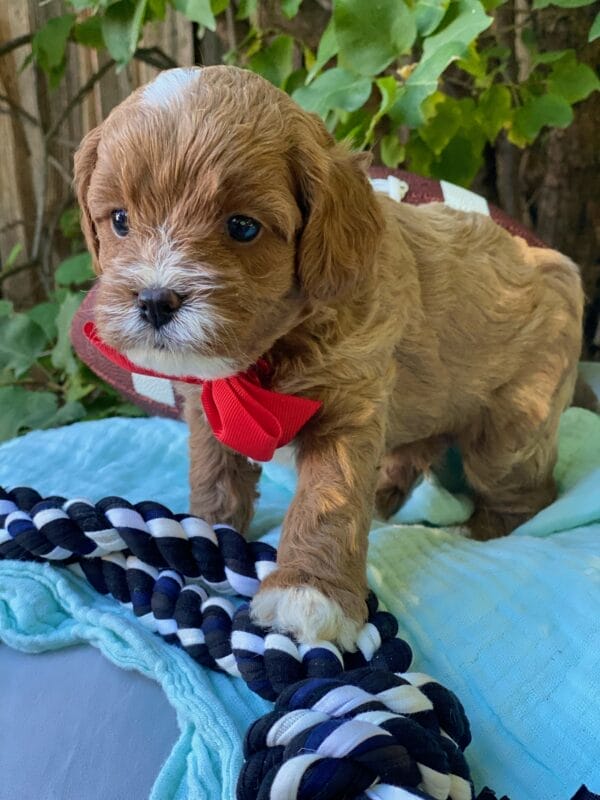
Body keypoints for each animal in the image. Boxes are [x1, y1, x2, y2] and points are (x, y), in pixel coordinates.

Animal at [74, 64, 580, 648]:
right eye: (119, 220)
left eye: (242, 227)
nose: (155, 301)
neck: (270, 351)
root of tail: (549, 261)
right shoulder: (210, 409)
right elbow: (215, 477)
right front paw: (206, 539)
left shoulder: (347, 408)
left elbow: (328, 498)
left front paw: (308, 592)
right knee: (416, 448)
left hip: (513, 425)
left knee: (527, 492)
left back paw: (473, 532)